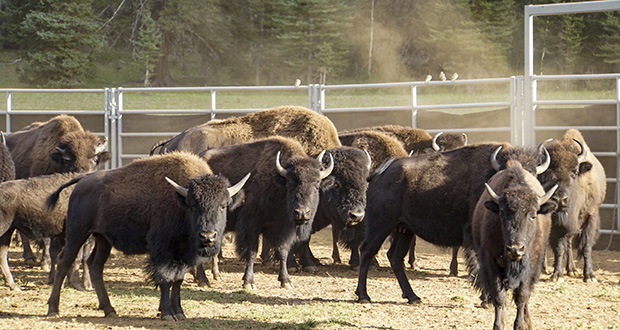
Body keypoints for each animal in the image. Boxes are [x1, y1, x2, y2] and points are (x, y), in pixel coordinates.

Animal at [45, 152, 249, 320]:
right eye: (193, 205)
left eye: (223, 205)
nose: (208, 236)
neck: (180, 203)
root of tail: (82, 181)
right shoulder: (163, 249)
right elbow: (166, 278)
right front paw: (167, 313)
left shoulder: (183, 254)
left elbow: (178, 279)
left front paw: (179, 312)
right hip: (77, 233)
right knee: (64, 261)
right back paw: (53, 309)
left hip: (103, 239)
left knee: (95, 265)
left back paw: (110, 310)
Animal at [200, 137, 334, 288]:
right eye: (290, 184)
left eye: (317, 185)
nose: (302, 213)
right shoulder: (252, 225)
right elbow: (252, 252)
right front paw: (248, 282)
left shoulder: (284, 229)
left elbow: (283, 251)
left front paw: (286, 281)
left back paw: (216, 275)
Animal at [354, 143, 548, 302]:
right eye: (508, 175)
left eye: (532, 175)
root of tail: (380, 174)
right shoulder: (476, 241)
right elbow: (480, 267)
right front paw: (486, 299)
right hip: (381, 226)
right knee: (367, 250)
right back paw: (363, 295)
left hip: (404, 230)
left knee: (395, 257)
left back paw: (413, 297)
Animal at [536, 129, 604, 282]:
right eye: (547, 173)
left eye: (575, 172)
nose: (560, 199)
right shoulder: (557, 224)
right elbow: (559, 248)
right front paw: (557, 275)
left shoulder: (591, 216)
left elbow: (586, 246)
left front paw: (589, 276)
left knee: (569, 242)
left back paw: (571, 269)